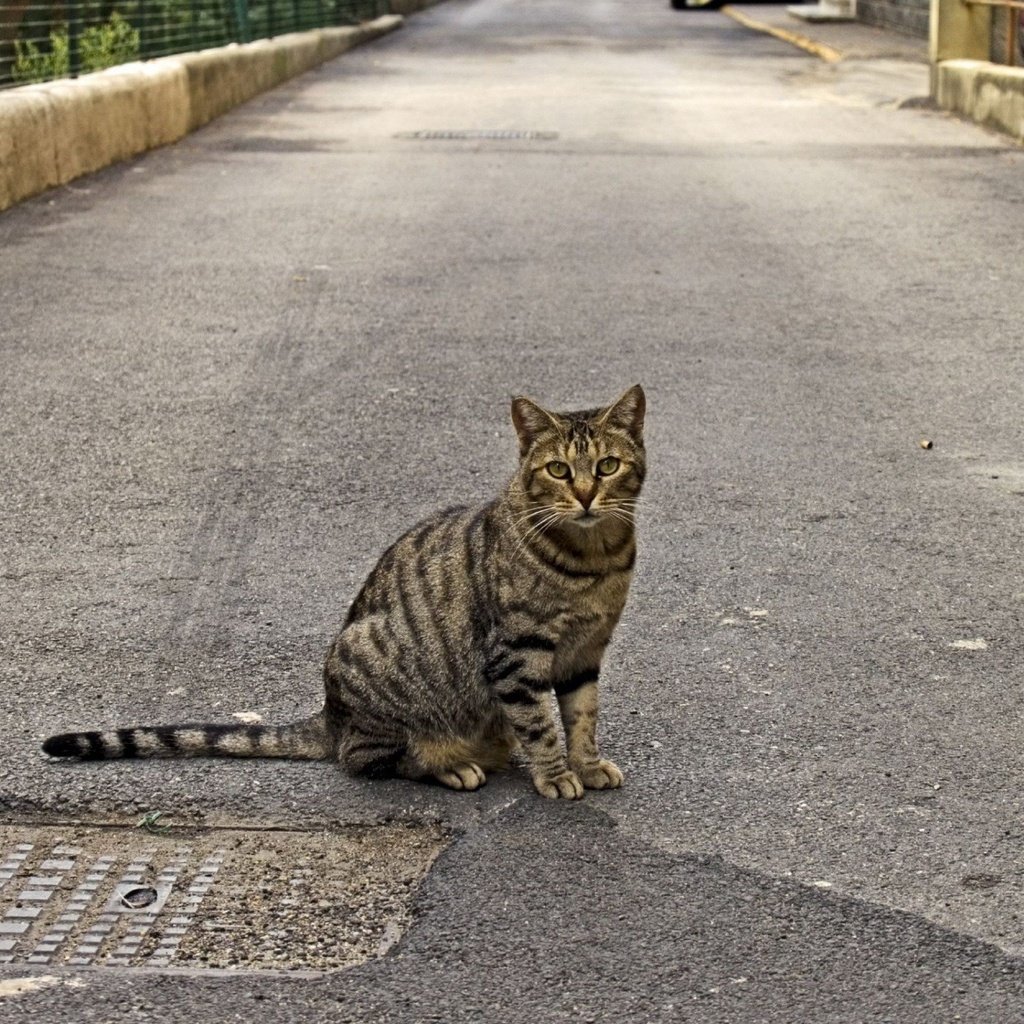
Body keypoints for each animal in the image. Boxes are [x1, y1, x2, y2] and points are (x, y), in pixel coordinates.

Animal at [44, 385, 647, 798]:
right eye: (559, 470)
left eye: (607, 465)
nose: (586, 495)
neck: (594, 559)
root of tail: (331, 713)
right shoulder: (516, 656)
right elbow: (542, 724)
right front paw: (557, 774)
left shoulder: (585, 652)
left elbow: (582, 717)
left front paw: (586, 764)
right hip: (373, 663)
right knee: (365, 757)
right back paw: (448, 763)